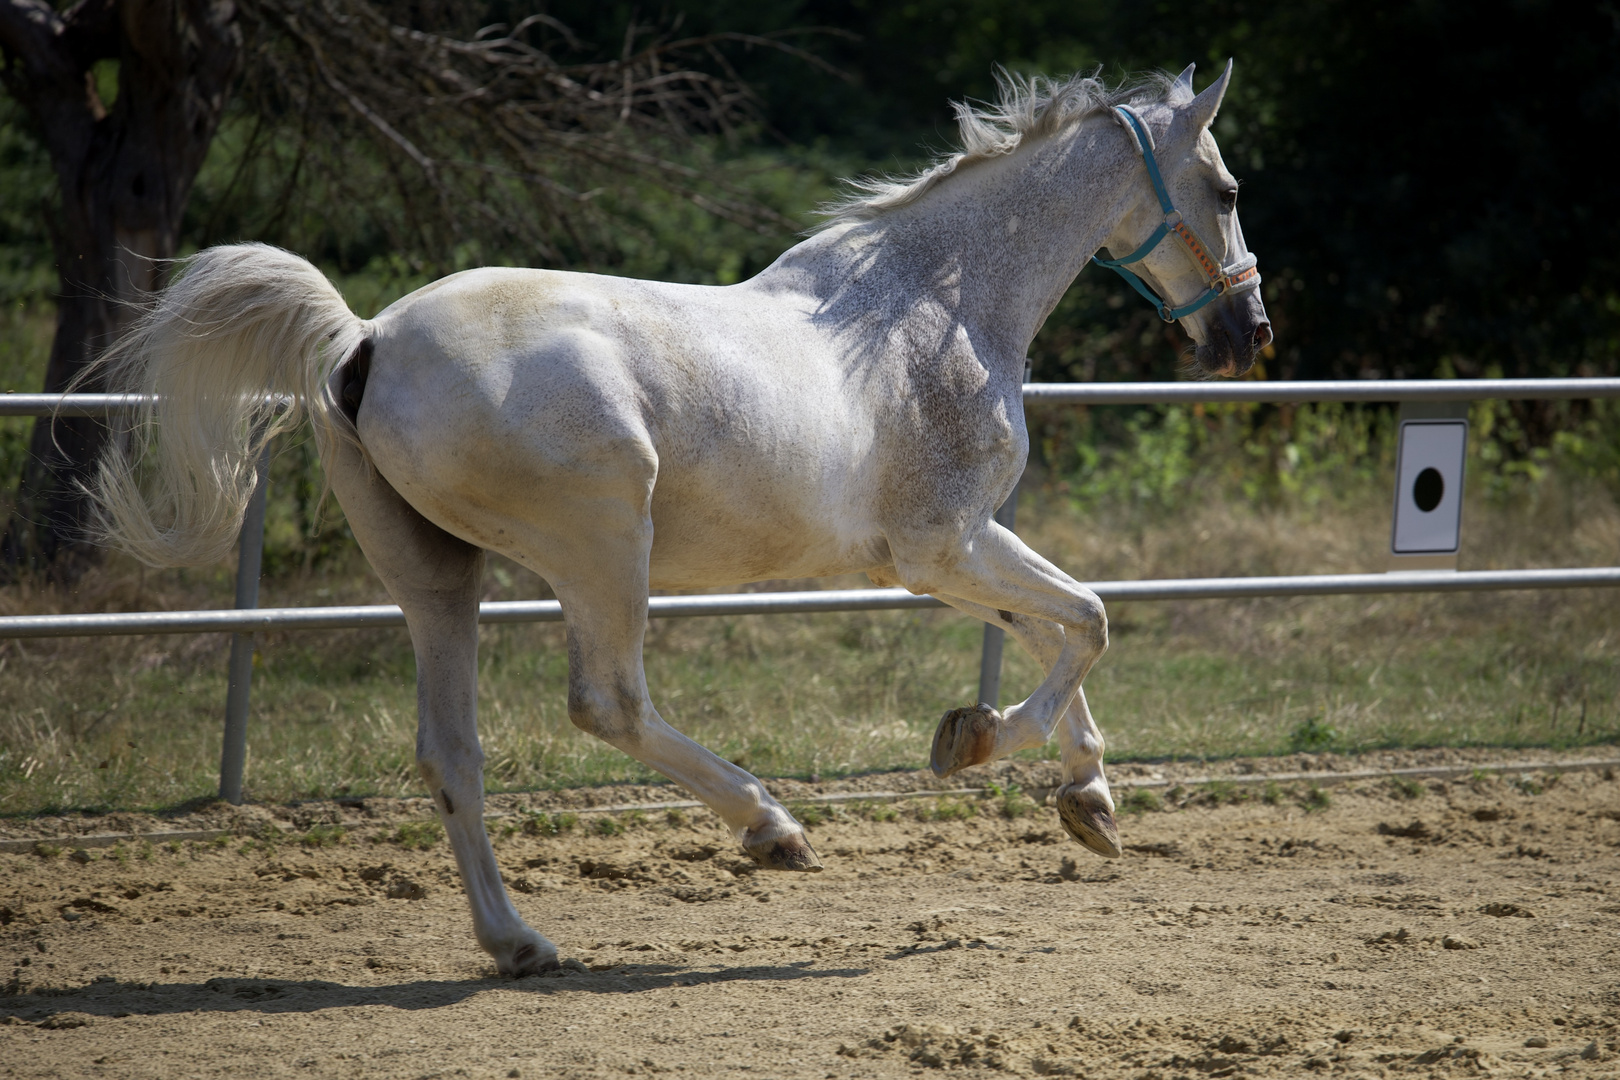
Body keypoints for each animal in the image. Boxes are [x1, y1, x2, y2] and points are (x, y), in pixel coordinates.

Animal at [98, 63, 1263, 977]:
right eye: (1226, 187)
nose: (1248, 331)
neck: (937, 305)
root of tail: (364, 338)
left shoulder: (955, 551)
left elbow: (1061, 627)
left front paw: (1090, 800)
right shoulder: (943, 545)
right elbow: (1092, 619)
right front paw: (975, 744)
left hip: (436, 573)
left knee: (451, 754)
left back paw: (520, 943)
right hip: (603, 547)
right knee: (608, 704)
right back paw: (772, 828)